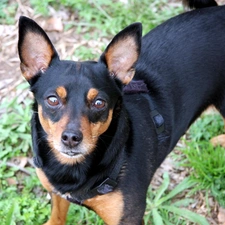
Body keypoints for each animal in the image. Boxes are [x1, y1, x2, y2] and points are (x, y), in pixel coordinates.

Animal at [18, 0, 225, 224]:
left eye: (99, 103)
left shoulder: (127, 218)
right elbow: (57, 216)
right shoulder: (56, 193)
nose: (71, 138)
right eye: (52, 100)